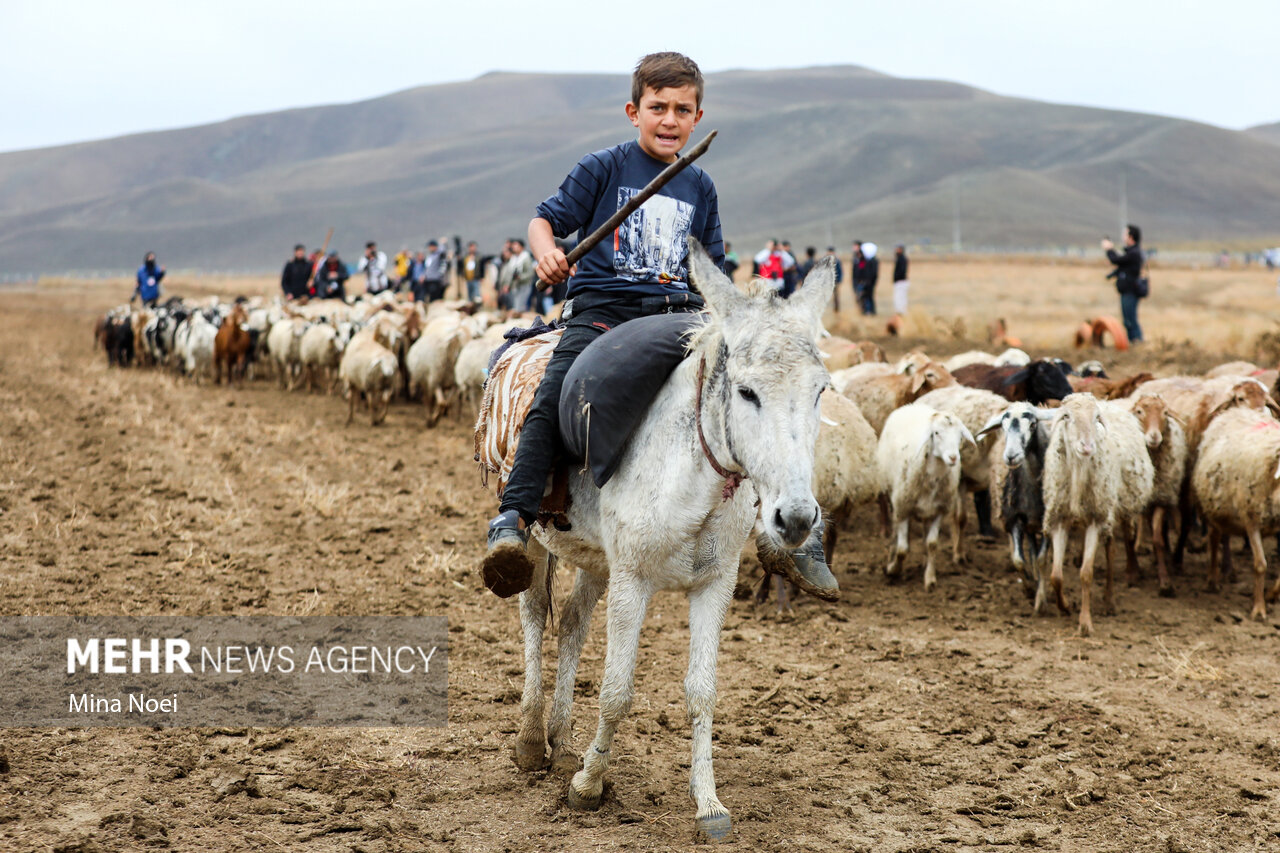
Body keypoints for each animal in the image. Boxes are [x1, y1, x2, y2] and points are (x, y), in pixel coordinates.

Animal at [875, 402, 972, 589]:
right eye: (936, 433)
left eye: (960, 435)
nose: (953, 458)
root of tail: (911, 405)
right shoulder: (903, 507)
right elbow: (903, 550)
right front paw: (893, 569)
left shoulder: (940, 511)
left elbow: (932, 544)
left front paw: (930, 578)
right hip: (895, 499)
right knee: (896, 531)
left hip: (926, 509)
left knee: (925, 534)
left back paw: (924, 563)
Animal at [1044, 391, 1157, 630]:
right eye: (1066, 416)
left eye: (1096, 418)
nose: (1087, 447)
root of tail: (1110, 403)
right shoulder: (1059, 519)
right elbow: (1056, 575)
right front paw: (1064, 606)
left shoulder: (1095, 520)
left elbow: (1086, 573)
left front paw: (1085, 622)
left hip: (1118, 507)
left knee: (1113, 551)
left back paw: (1110, 600)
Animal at [1121, 394, 1187, 594]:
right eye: (1139, 411)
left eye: (1165, 413)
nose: (1154, 436)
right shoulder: (1130, 501)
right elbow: (1129, 536)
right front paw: (1131, 573)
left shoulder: (1161, 498)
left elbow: (1157, 539)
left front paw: (1164, 580)